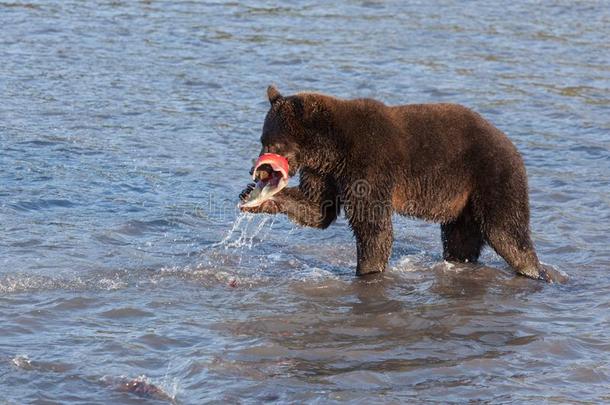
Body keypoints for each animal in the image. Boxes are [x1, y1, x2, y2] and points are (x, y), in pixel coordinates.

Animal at [238, 85, 556, 280]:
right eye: (263, 139)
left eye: (273, 143)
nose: (258, 172)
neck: (331, 150)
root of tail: (511, 145)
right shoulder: (325, 173)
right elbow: (318, 209)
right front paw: (253, 198)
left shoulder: (368, 164)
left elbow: (372, 225)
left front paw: (367, 269)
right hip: (462, 204)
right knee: (460, 241)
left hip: (491, 176)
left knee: (507, 232)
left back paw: (536, 271)